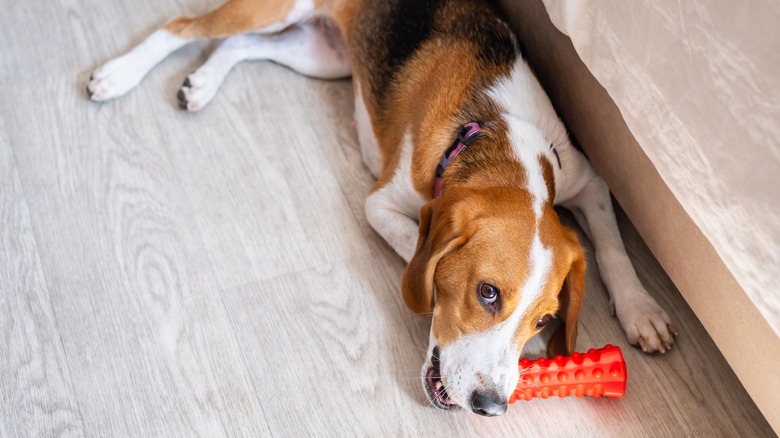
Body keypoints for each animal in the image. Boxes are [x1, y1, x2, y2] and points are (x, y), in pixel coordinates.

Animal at [87, 0, 676, 418]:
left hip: (323, 57)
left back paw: (203, 82)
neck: (495, 139)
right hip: (276, 7)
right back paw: (117, 75)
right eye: (487, 293)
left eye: (547, 317)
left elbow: (613, 246)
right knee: (183, 26)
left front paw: (641, 310)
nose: (491, 407)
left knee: (239, 44)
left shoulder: (589, 180)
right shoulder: (381, 204)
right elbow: (414, 251)